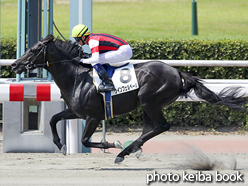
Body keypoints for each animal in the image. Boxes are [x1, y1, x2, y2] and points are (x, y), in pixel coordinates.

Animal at [12, 34, 248, 163]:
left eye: (33, 49)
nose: (15, 65)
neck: (77, 76)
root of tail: (177, 72)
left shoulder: (93, 116)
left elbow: (85, 140)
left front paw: (113, 143)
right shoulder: (75, 112)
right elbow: (53, 120)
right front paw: (60, 145)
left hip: (150, 101)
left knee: (161, 126)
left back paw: (124, 151)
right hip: (147, 105)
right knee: (150, 129)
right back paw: (132, 149)